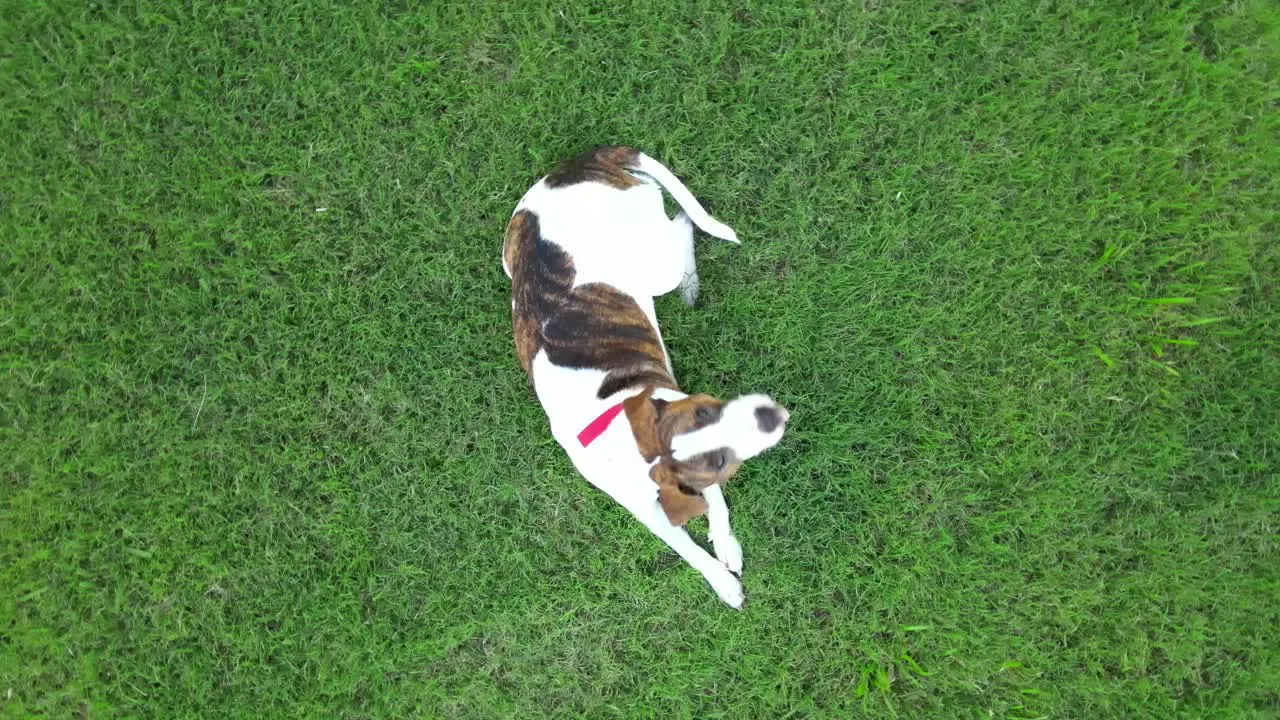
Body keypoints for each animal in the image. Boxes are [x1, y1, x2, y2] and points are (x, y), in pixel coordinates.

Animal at [501, 142, 788, 602]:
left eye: (708, 412)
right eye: (719, 457)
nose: (771, 414)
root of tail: (588, 160)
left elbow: (717, 506)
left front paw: (726, 544)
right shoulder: (648, 509)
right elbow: (688, 545)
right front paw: (721, 580)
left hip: (649, 263)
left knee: (683, 221)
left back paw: (689, 282)